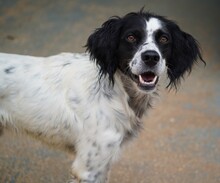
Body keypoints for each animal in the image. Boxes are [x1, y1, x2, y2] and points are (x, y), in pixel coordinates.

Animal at [0, 10, 205, 182]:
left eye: (164, 38)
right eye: (131, 37)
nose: (151, 57)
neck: (120, 92)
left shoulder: (103, 164)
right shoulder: (88, 168)